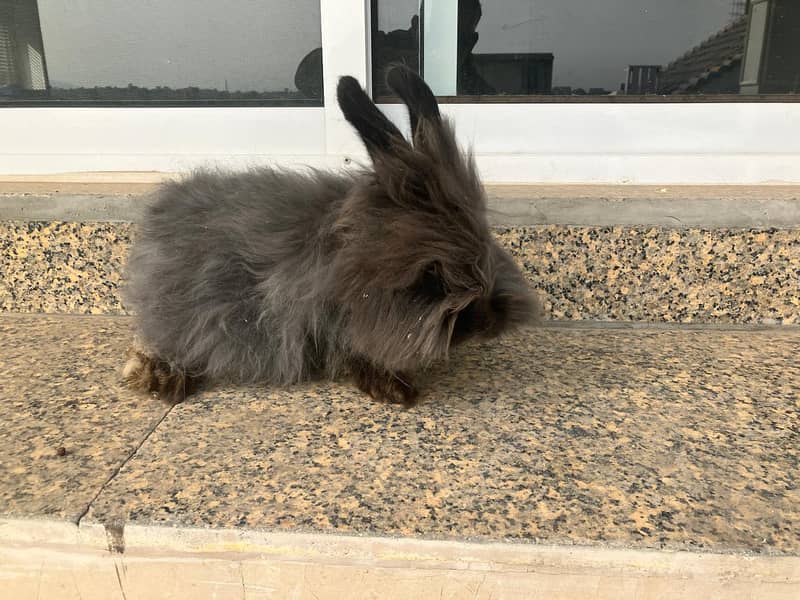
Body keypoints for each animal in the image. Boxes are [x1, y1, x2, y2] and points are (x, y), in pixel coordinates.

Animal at [122, 68, 540, 410]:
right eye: (432, 276)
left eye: (486, 252)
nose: (488, 324)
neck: (346, 261)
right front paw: (396, 390)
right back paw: (160, 378)